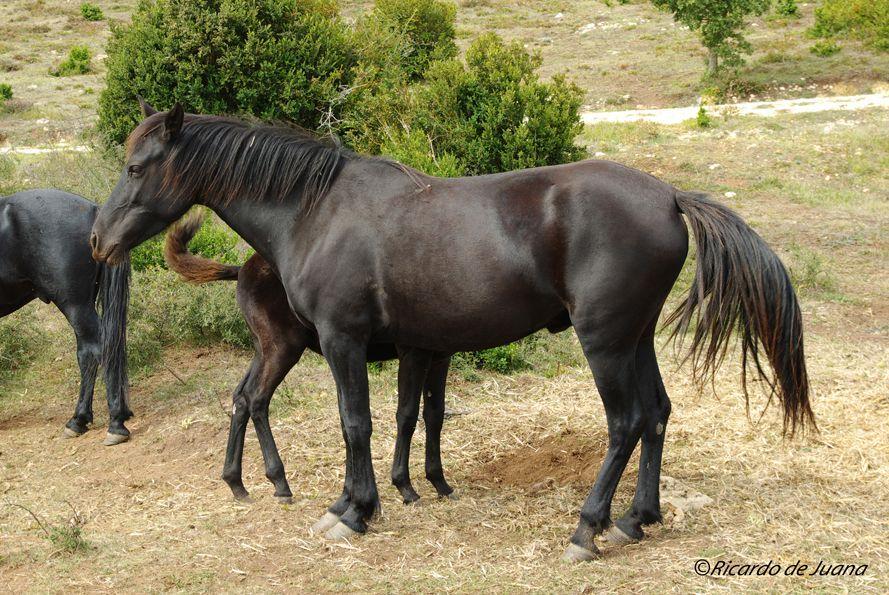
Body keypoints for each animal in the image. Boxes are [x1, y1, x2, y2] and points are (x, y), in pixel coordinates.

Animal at [1, 189, 132, 445]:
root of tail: (94, 210)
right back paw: (78, 420)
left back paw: (115, 422)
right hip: (82, 305)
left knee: (99, 349)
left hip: (74, 305)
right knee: (87, 353)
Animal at [163, 214, 454, 516]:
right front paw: (405, 486)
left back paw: (236, 482)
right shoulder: (414, 353)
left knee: (240, 397)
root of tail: (243, 269)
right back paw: (279, 481)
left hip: (263, 350)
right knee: (257, 398)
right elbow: (406, 415)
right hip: (282, 349)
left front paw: (439, 481)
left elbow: (434, 414)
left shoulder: (440, 357)